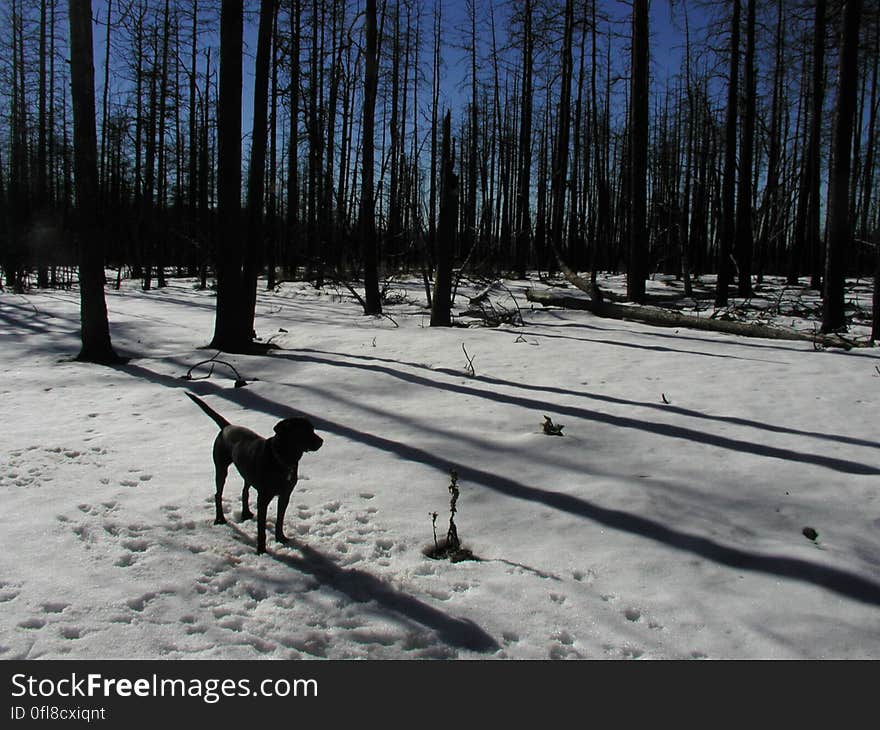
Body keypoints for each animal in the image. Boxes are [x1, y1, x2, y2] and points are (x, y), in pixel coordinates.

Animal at [186, 392, 324, 552]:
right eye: (303, 431)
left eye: (312, 428)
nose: (321, 441)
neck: (282, 459)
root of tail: (227, 426)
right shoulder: (263, 498)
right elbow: (261, 528)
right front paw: (261, 550)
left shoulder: (285, 494)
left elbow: (279, 519)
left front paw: (281, 538)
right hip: (221, 468)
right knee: (218, 494)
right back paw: (220, 519)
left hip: (247, 472)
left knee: (244, 491)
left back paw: (245, 513)